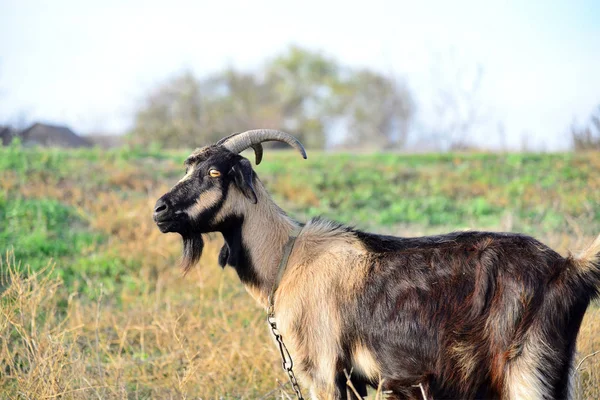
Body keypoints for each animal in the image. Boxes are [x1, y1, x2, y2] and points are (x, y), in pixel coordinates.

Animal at [152, 130, 600, 398]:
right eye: (188, 167)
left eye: (215, 172)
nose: (160, 210)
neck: (286, 260)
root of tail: (569, 267)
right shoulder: (351, 380)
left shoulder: (321, 371)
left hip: (525, 368)